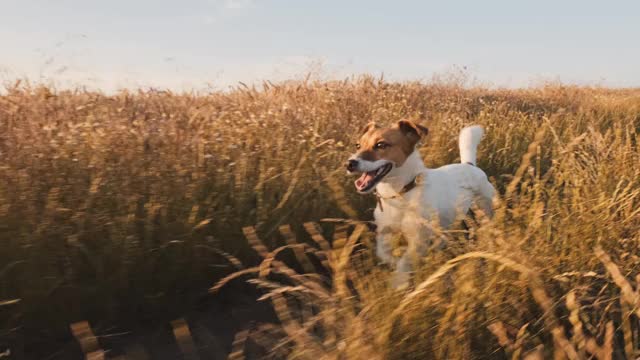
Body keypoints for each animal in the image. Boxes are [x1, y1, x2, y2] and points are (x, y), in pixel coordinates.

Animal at [344, 119, 496, 288]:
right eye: (358, 145)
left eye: (381, 145)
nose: (349, 163)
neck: (399, 194)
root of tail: (469, 165)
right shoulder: (385, 230)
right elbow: (383, 253)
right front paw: (394, 265)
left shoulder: (418, 240)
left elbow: (404, 262)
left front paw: (399, 283)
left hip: (485, 207)